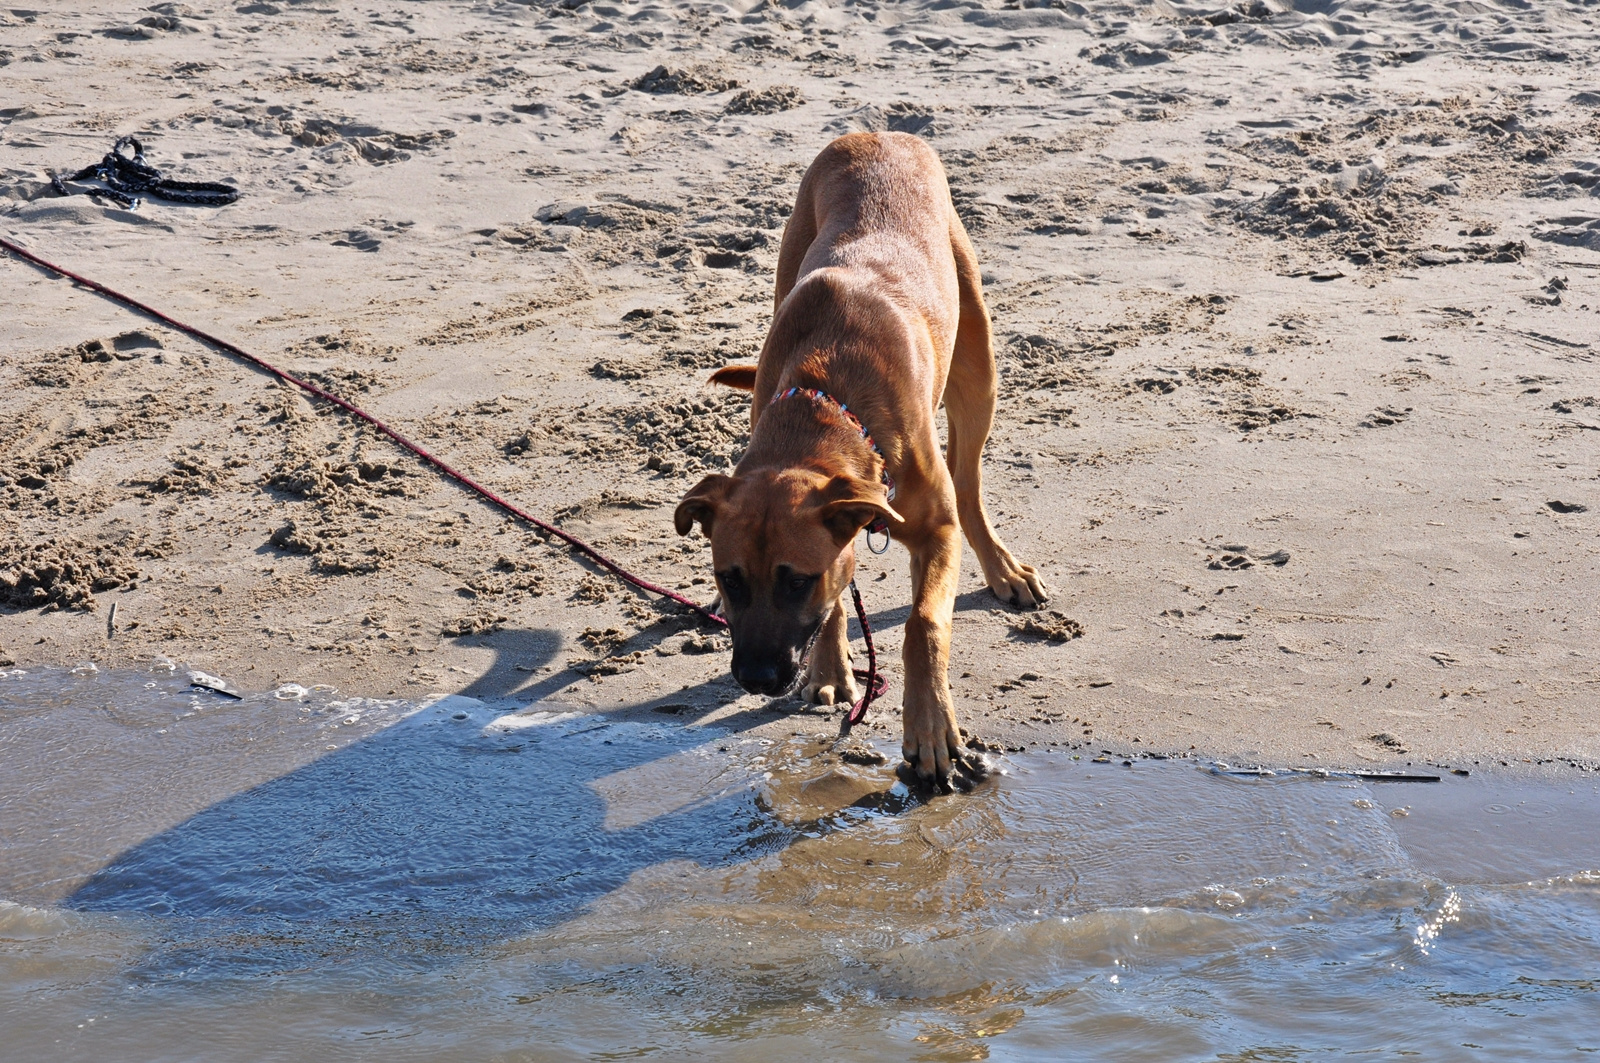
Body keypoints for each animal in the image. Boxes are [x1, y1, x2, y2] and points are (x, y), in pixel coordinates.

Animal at [675, 130, 1049, 787]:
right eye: (731, 576)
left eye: (796, 580)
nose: (756, 680)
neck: (824, 402)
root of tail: (877, 133)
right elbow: (838, 597)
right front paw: (830, 671)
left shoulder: (935, 531)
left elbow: (923, 624)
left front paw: (931, 729)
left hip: (977, 364)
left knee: (970, 482)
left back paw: (1002, 568)